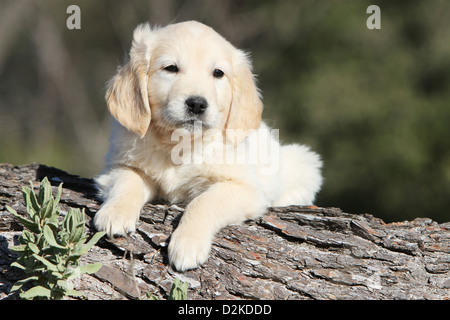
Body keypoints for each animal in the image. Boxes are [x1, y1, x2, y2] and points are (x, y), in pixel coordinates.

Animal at [94, 20, 324, 270]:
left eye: (218, 73)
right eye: (171, 68)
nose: (196, 104)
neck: (179, 144)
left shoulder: (244, 188)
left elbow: (203, 202)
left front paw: (188, 244)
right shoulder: (120, 166)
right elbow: (127, 181)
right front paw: (115, 213)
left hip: (304, 162)